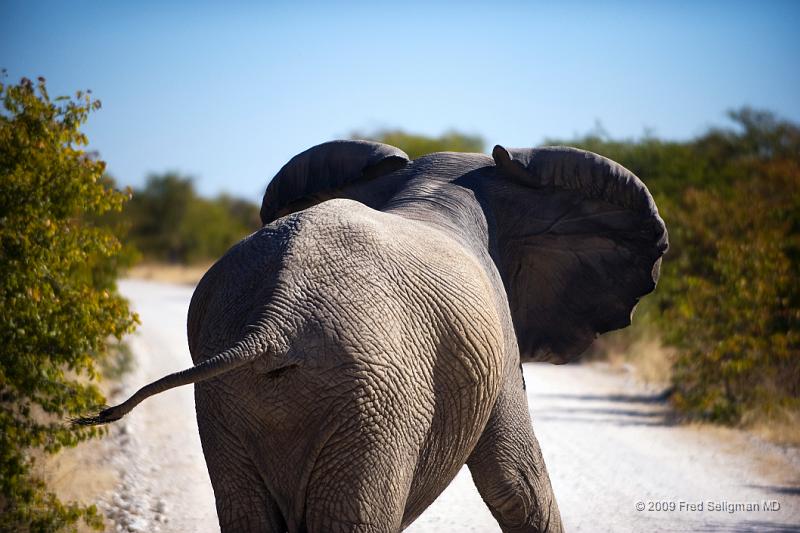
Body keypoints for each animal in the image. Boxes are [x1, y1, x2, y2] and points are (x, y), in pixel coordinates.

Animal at [79, 139, 668, 528]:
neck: (436, 188)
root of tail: (274, 320)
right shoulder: (497, 335)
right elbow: (515, 479)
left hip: (234, 400)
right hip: (375, 400)